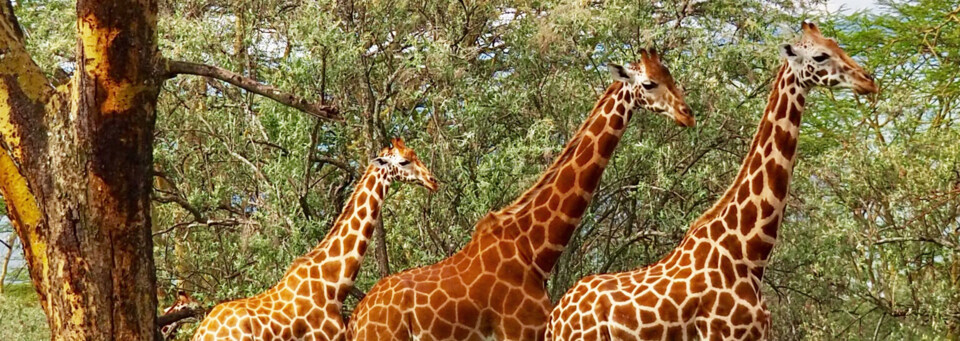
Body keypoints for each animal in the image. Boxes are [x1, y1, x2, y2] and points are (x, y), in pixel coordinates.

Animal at [348, 48, 692, 340]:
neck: (534, 250)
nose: (687, 113)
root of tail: (356, 319)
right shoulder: (522, 328)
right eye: (649, 83)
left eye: (670, 75)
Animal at [544, 21, 880, 340]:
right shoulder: (724, 333)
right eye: (820, 56)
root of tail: (555, 319)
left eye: (838, 45)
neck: (748, 252)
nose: (868, 80)